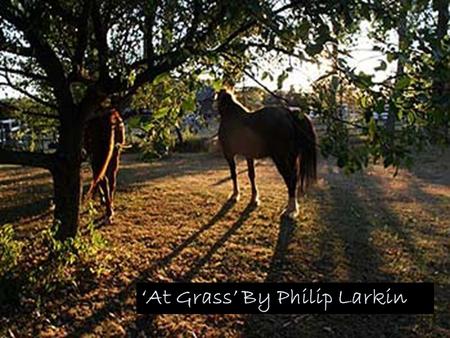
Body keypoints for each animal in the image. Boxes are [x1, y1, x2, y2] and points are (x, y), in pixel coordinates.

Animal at [217, 88, 316, 218]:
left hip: (280, 158)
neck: (231, 116)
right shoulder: (248, 155)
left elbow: (233, 174)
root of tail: (289, 113)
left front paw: (235, 195)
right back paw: (291, 208)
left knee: (290, 178)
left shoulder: (229, 154)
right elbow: (251, 175)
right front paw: (254, 198)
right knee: (294, 178)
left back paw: (290, 209)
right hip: (291, 157)